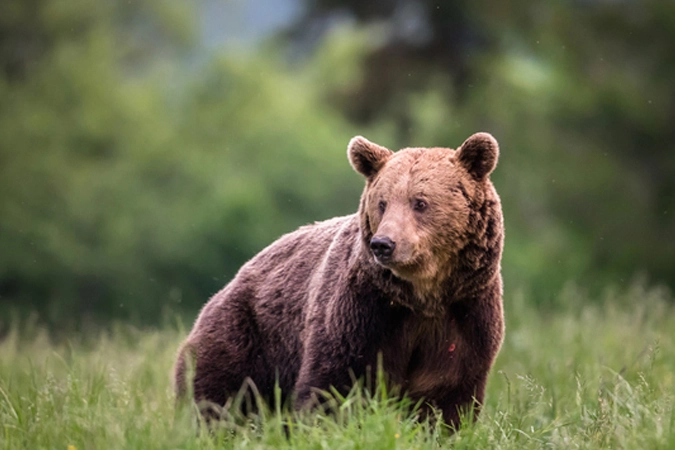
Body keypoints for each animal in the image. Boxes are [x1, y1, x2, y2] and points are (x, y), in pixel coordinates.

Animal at [174, 131, 502, 428]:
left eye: (420, 202)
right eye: (382, 203)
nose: (383, 244)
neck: (422, 295)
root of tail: (228, 285)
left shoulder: (464, 317)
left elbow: (446, 397)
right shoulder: (361, 313)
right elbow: (333, 384)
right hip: (247, 335)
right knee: (218, 395)